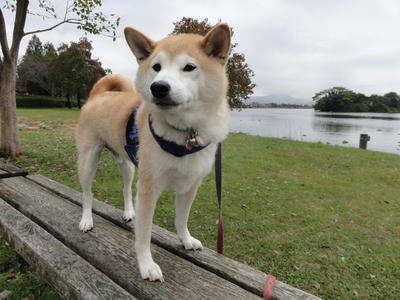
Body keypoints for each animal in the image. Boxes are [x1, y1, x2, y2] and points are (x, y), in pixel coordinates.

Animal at [76, 22, 231, 282]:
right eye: (156, 67)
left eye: (189, 67)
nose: (158, 87)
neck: (185, 134)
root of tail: (99, 95)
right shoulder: (149, 187)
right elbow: (144, 234)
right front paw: (146, 264)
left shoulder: (191, 184)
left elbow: (181, 219)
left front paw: (186, 240)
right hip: (88, 161)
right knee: (87, 194)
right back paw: (87, 219)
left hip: (127, 163)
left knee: (126, 187)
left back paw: (129, 211)